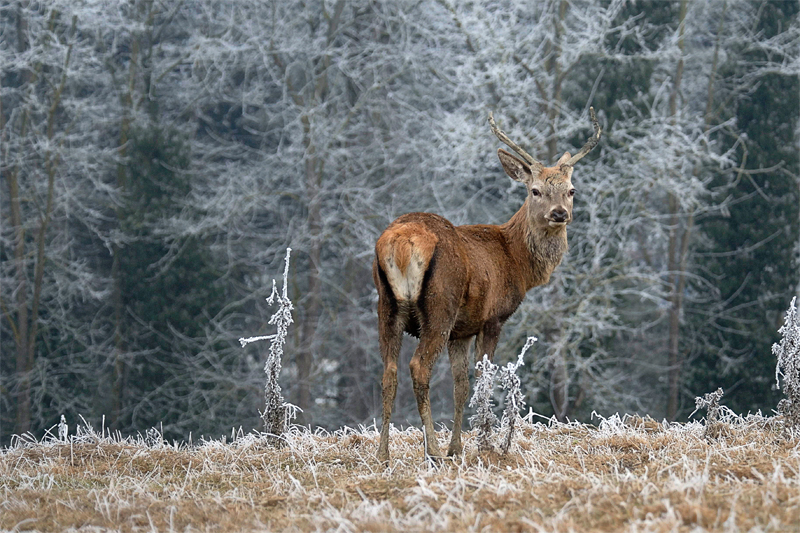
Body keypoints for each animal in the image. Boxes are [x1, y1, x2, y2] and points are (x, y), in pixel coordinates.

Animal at [374, 108, 600, 462]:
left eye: (571, 190)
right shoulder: (493, 318)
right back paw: (432, 451)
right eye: (535, 190)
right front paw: (485, 444)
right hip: (440, 305)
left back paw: (383, 454)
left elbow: (461, 385)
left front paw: (457, 447)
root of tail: (401, 243)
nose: (559, 213)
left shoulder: (462, 330)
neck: (515, 262)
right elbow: (484, 380)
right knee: (418, 367)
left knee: (388, 373)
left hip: (386, 305)